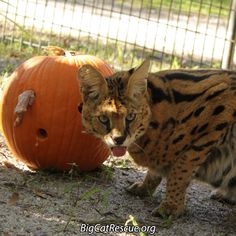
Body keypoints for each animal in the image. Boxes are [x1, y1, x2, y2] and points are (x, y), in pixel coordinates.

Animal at [78, 60, 236, 218]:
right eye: (104, 119)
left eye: (130, 117)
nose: (119, 139)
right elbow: (155, 173)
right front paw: (144, 188)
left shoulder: (215, 121)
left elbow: (181, 170)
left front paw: (171, 207)